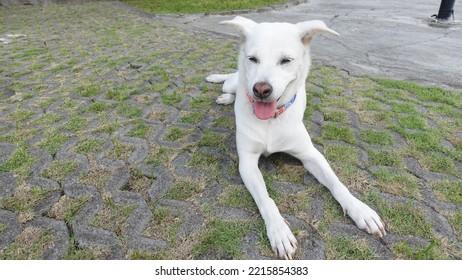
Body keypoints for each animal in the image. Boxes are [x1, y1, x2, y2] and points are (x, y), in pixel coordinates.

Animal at [207, 16, 386, 260]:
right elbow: (266, 199)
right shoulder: (247, 162)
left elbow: (337, 183)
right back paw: (224, 91)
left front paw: (360, 209)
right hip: (235, 82)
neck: (271, 119)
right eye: (253, 59)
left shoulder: (311, 155)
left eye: (286, 60)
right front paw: (279, 231)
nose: (260, 90)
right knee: (231, 82)